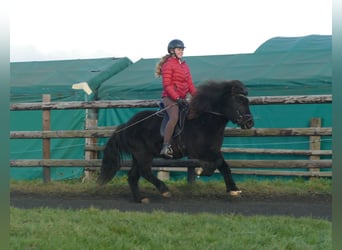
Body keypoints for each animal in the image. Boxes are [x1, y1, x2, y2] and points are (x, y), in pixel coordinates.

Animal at [97, 80, 254, 203]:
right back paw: (164, 190)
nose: (249, 123)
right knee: (145, 171)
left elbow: (224, 166)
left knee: (133, 176)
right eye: (239, 101)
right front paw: (202, 171)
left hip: (139, 156)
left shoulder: (213, 151)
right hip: (143, 154)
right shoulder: (200, 152)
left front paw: (233, 189)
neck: (204, 121)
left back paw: (140, 199)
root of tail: (126, 126)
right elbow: (218, 164)